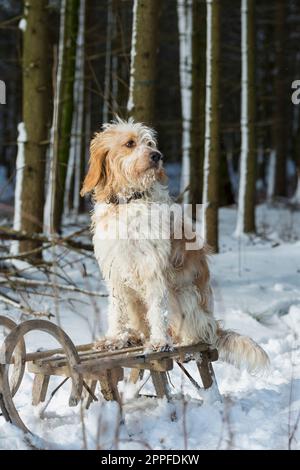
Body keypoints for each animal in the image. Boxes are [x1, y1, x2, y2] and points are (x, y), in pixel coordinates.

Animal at [81, 117, 270, 374]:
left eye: (150, 143)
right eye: (130, 143)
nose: (157, 156)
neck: (129, 202)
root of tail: (213, 325)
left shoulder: (153, 268)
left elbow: (157, 310)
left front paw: (160, 342)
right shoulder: (116, 270)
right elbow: (116, 310)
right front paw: (114, 338)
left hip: (184, 293)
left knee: (192, 332)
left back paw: (181, 343)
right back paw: (133, 336)